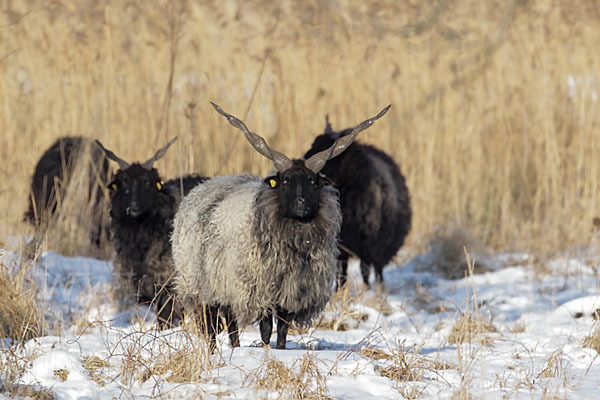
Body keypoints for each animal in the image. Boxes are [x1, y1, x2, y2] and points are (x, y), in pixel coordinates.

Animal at [172, 104, 390, 350]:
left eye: (313, 181)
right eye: (285, 180)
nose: (301, 203)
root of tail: (204, 186)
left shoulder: (290, 293)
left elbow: (283, 329)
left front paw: (281, 350)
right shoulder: (262, 292)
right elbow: (266, 328)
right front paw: (267, 350)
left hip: (225, 288)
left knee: (230, 322)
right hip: (202, 286)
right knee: (210, 325)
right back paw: (214, 351)